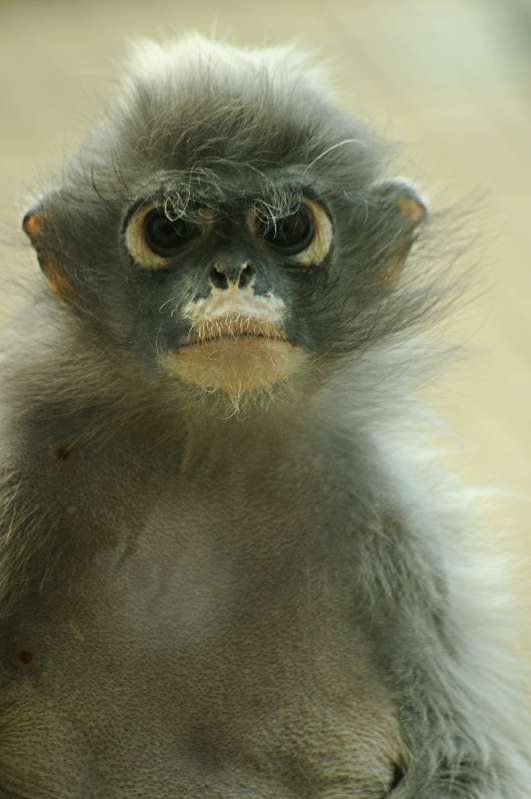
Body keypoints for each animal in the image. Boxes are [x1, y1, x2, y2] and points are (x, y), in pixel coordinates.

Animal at [0, 31, 528, 798]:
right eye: (167, 229)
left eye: (288, 227)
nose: (231, 273)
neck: (207, 452)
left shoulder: (391, 525)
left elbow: (466, 761)